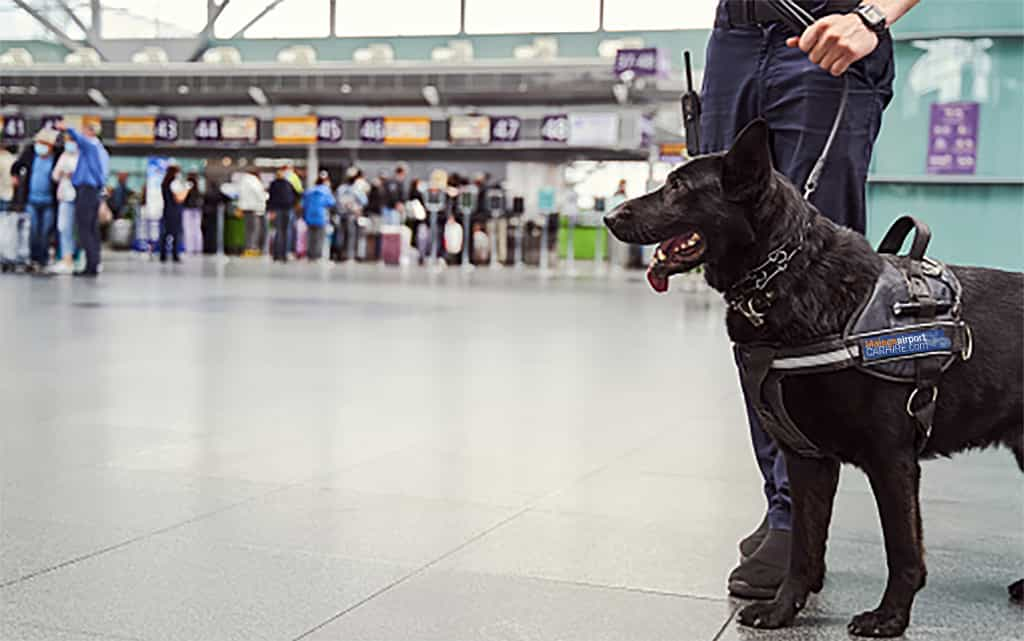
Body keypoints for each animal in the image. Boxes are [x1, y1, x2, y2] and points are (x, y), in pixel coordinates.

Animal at [602, 118, 1019, 634]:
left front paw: (890, 617)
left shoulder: (892, 460)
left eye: (678, 186)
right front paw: (783, 610)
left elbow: (902, 549)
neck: (790, 276)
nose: (608, 216)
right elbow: (803, 547)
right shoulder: (807, 461)